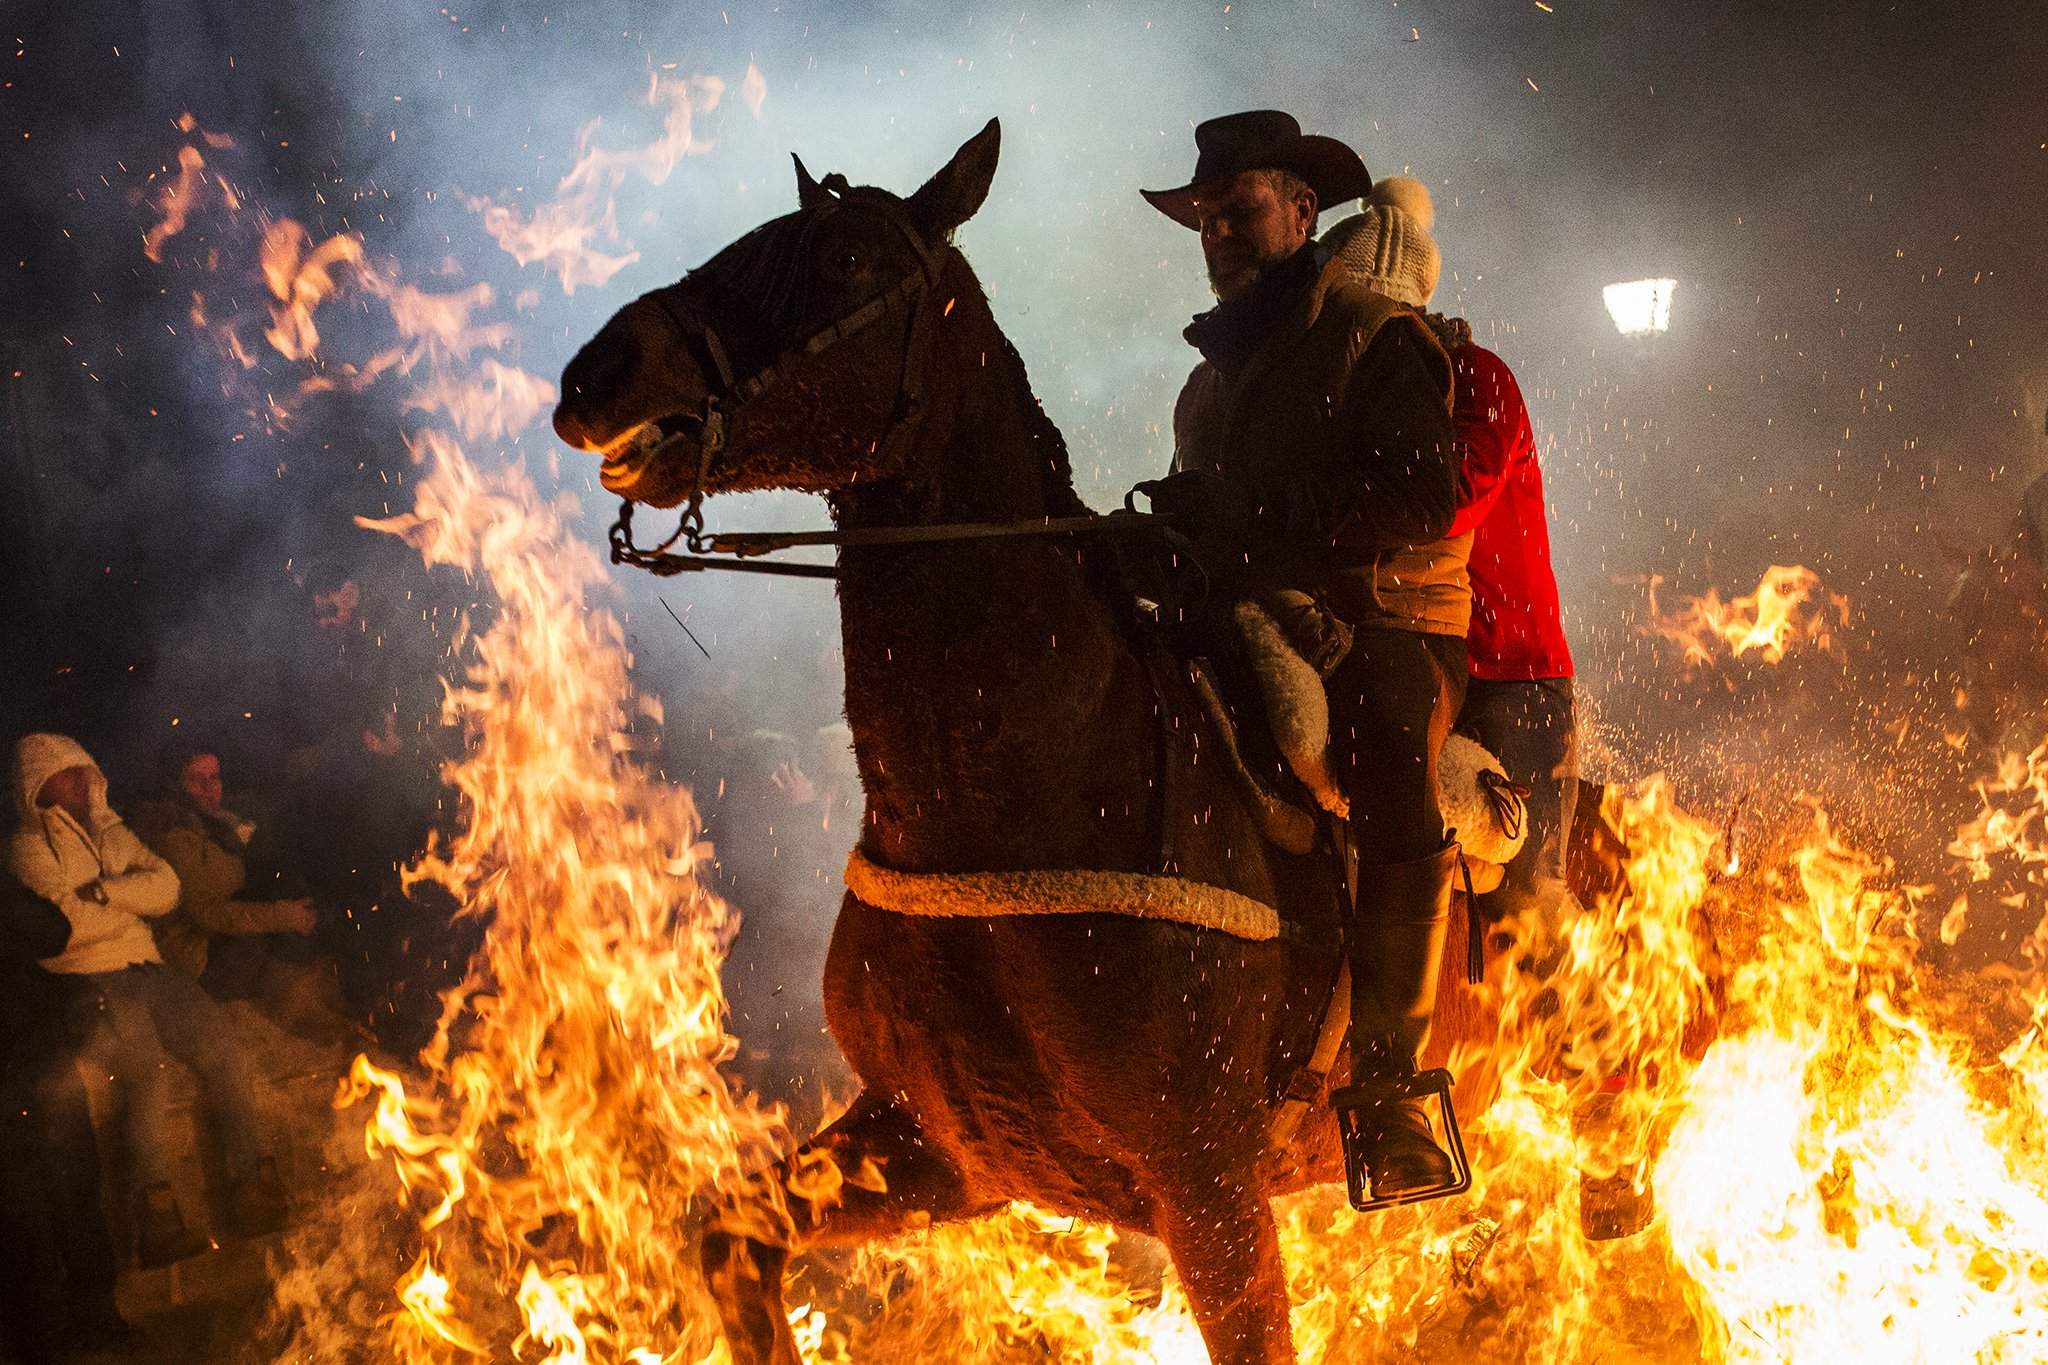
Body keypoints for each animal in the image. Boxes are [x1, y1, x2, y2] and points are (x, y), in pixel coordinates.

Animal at [557, 122, 1490, 1358]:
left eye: (846, 256)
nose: (595, 373)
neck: (1028, 794)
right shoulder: (941, 1148)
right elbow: (732, 1241)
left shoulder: (1212, 1193)